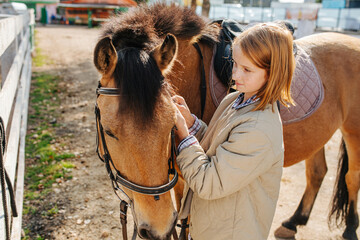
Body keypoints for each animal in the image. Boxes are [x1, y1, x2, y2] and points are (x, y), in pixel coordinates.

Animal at [94, 2, 360, 240]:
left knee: (352, 176)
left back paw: (349, 228)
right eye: (108, 132)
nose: (156, 228)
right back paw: (294, 222)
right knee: (317, 173)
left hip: (353, 134)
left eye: (170, 126)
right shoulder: (178, 182)